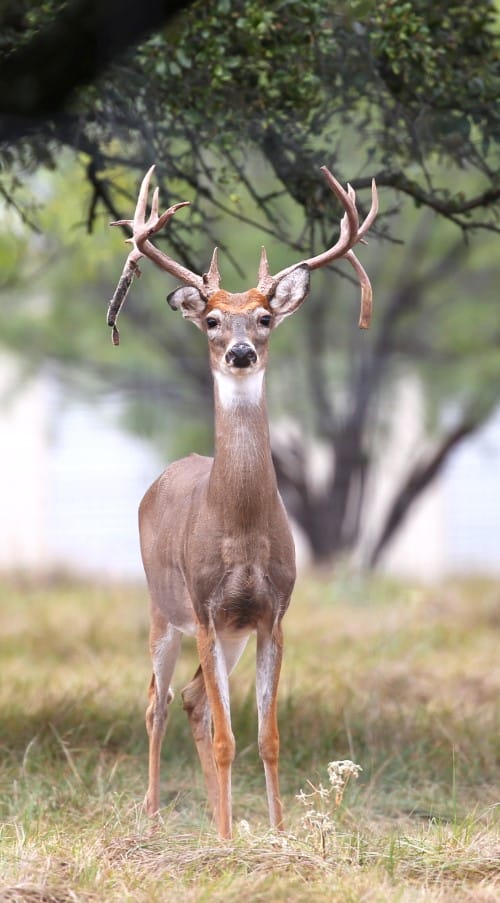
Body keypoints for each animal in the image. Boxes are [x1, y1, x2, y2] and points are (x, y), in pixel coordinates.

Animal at [107, 162, 376, 840]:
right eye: (211, 321)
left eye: (263, 319)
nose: (240, 352)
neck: (241, 528)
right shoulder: (205, 608)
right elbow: (230, 737)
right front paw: (230, 842)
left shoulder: (271, 613)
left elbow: (267, 737)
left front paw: (272, 834)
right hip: (163, 606)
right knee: (157, 701)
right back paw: (154, 813)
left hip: (226, 633)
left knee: (195, 701)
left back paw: (214, 818)